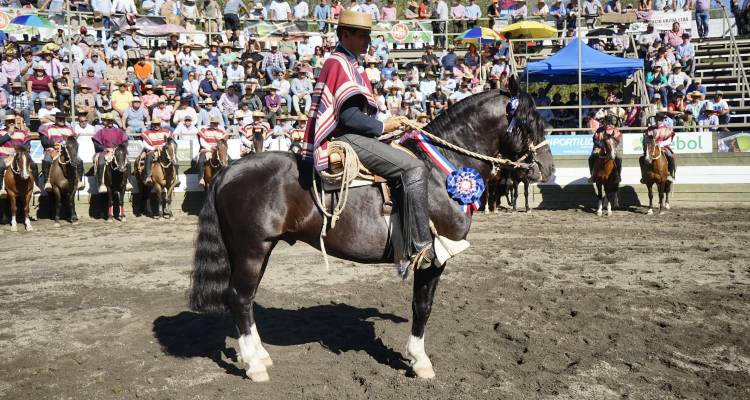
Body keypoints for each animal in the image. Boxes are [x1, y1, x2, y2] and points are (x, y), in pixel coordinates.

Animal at [186, 90, 556, 382]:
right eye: (529, 123)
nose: (547, 169)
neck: (441, 173)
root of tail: (228, 171)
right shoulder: (433, 256)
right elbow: (423, 306)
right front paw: (419, 360)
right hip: (250, 250)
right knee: (238, 298)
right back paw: (253, 365)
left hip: (258, 250)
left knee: (246, 300)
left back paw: (259, 354)